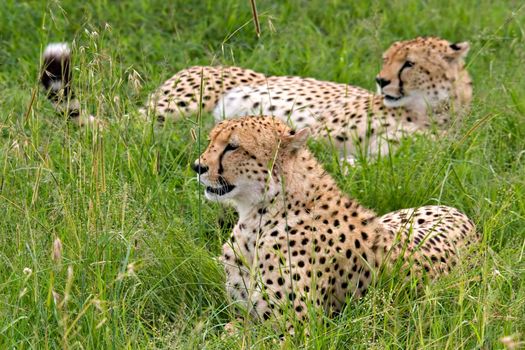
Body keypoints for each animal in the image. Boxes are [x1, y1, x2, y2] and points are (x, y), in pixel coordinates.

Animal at [39, 36, 468, 160]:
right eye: (386, 59)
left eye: (408, 63)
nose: (381, 81)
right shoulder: (323, 130)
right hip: (181, 105)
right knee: (126, 130)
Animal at [193, 116, 478, 330]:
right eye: (210, 141)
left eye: (233, 147)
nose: (198, 167)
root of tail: (461, 214)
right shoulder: (242, 312)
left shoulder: (298, 328)